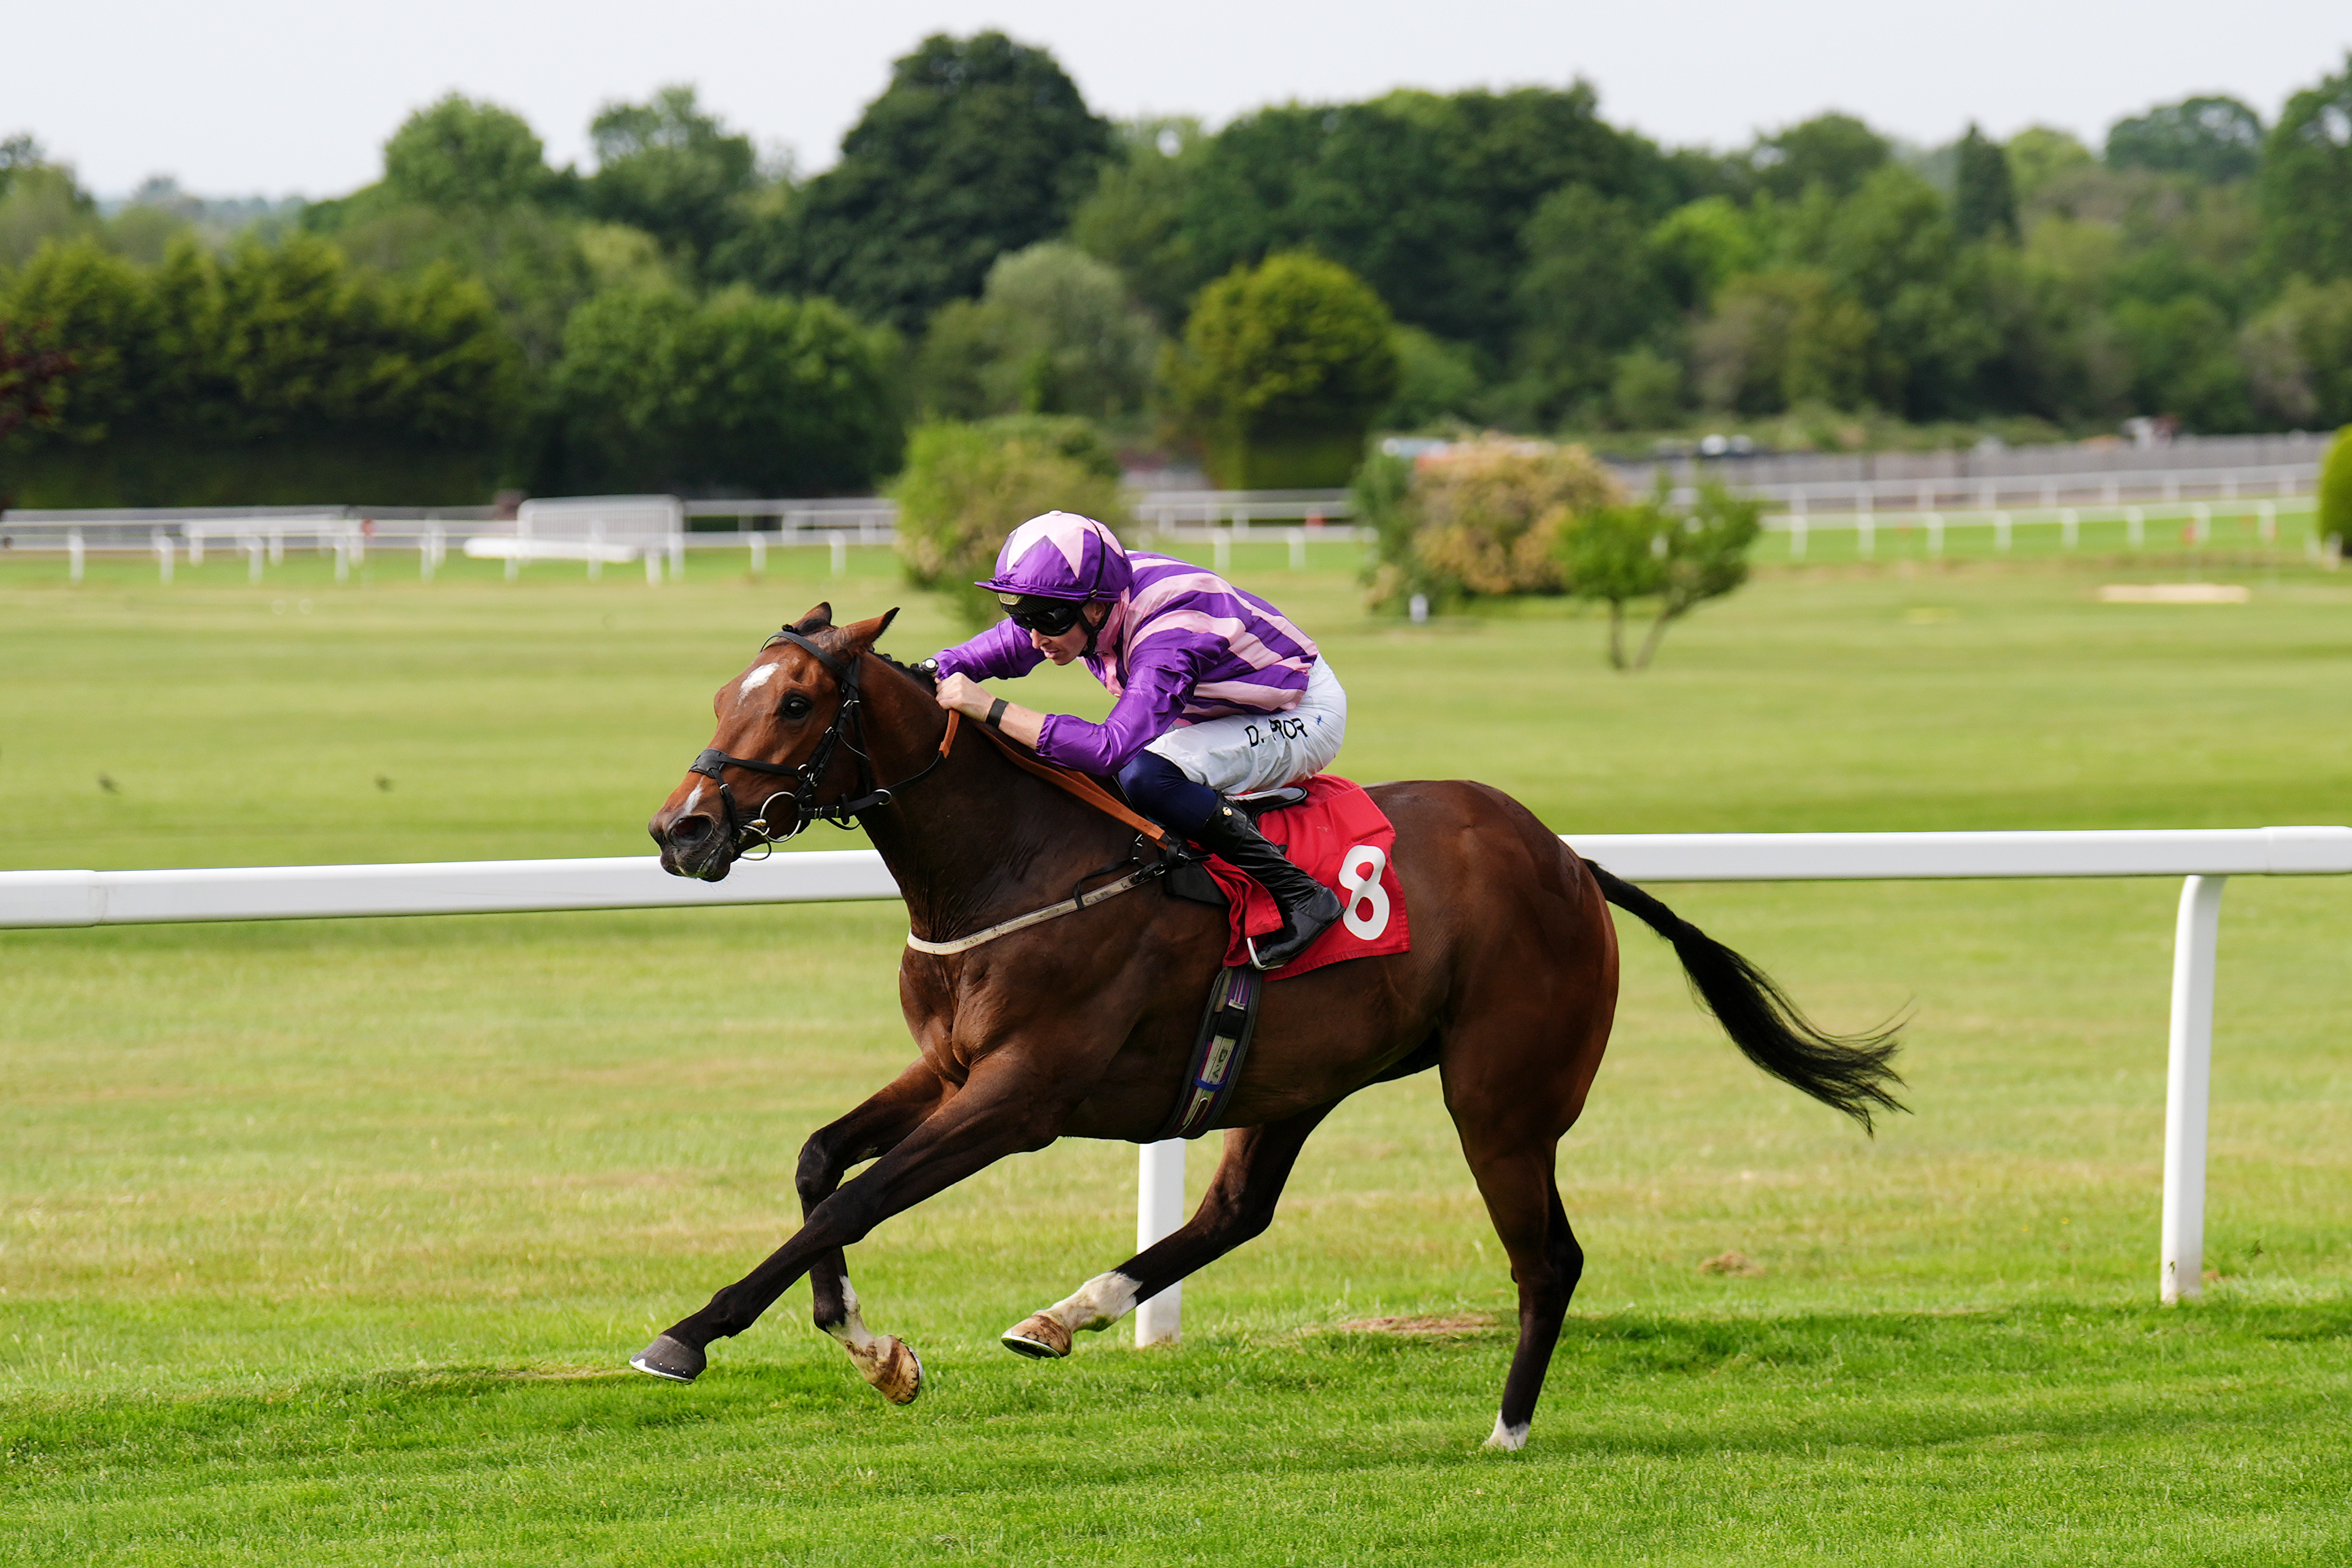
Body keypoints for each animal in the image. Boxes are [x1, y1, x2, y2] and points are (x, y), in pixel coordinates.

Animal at [633, 603, 1902, 1450]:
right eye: (724, 694)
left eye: (796, 701)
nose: (680, 830)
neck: (1015, 861)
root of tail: (1572, 863)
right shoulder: (949, 1066)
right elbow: (819, 1162)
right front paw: (868, 1344)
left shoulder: (1022, 1094)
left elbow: (858, 1194)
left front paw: (692, 1331)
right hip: (1293, 1079)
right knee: (1237, 1210)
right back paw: (1072, 1310)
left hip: (1500, 1096)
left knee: (1547, 1256)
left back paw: (1505, 1427)